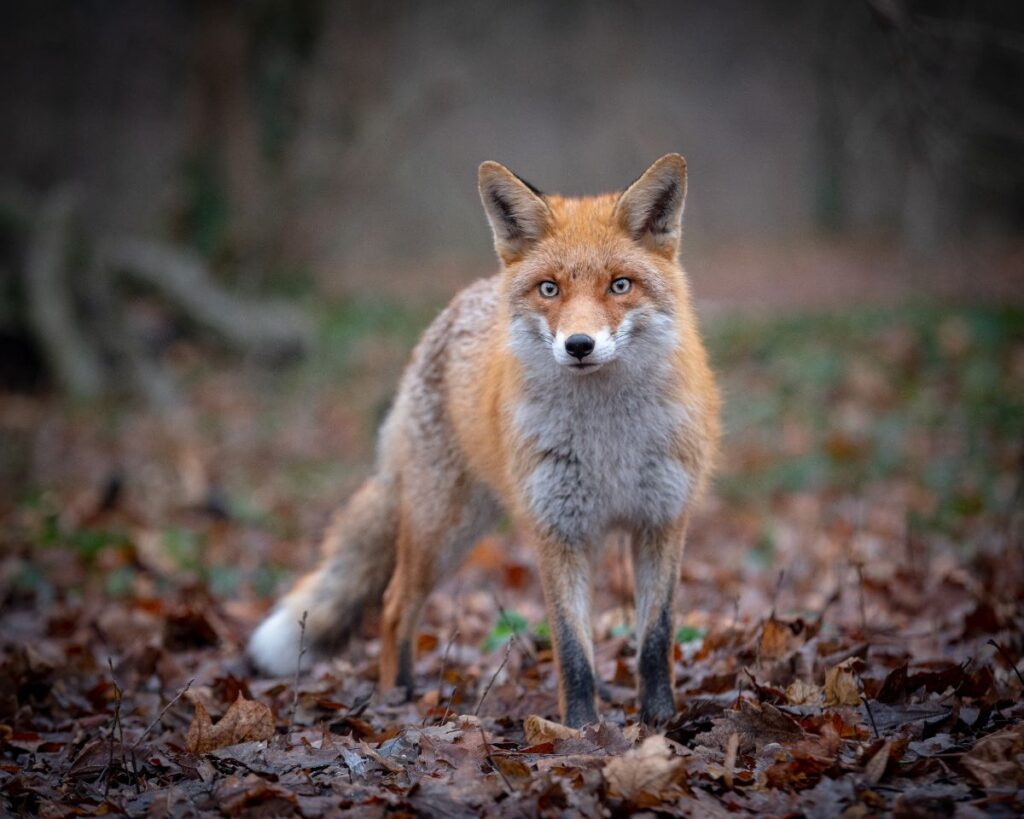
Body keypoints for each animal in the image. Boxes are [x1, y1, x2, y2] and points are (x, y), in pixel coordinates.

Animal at [248, 154, 720, 727]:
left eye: (620, 285)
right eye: (549, 289)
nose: (579, 345)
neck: (608, 440)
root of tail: (459, 302)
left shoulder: (662, 521)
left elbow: (655, 639)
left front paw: (660, 723)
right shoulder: (556, 529)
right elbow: (571, 650)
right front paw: (581, 730)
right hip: (442, 530)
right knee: (394, 605)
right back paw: (397, 696)